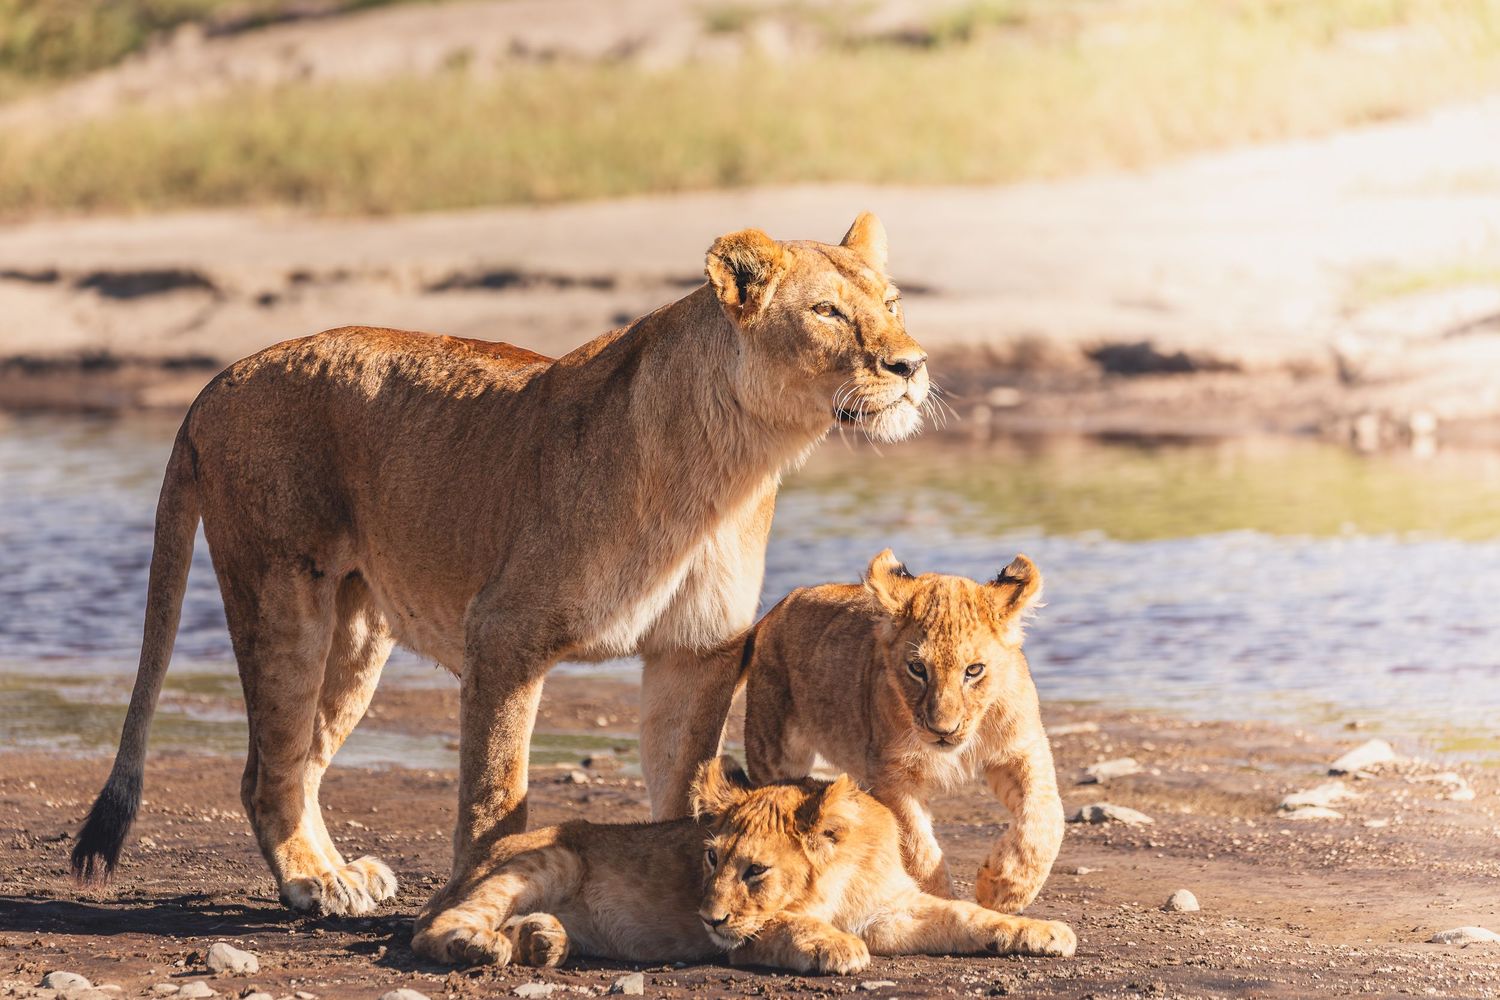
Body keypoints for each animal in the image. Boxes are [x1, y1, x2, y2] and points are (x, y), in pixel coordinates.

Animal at [69, 214, 931, 928]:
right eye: (826, 312)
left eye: (893, 302)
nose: (913, 364)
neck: (731, 466)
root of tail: (215, 381)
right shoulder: (506, 633)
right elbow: (496, 792)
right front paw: (480, 891)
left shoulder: (697, 651)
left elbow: (685, 789)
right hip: (284, 596)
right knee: (267, 768)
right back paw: (315, 881)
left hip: (356, 632)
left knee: (303, 759)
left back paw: (340, 871)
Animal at [411, 756, 1075, 972]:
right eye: (710, 857)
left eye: (755, 871)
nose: (706, 919)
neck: (841, 880)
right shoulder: (745, 934)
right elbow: (784, 923)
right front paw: (835, 945)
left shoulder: (893, 911)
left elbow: (969, 916)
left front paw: (1043, 931)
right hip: (550, 858)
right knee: (432, 929)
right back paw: (478, 945)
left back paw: (543, 941)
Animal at [742, 550, 1063, 915]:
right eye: (918, 669)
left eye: (974, 670)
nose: (943, 731)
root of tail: (775, 610)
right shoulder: (891, 775)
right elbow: (918, 848)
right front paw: (942, 905)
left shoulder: (1022, 750)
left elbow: (1046, 816)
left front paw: (1004, 888)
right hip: (773, 750)